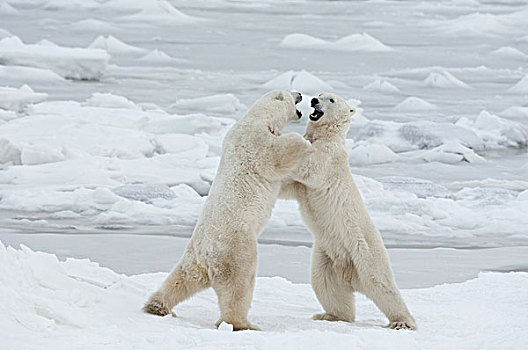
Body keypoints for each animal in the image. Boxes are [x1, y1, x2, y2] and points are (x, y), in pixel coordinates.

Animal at [142, 89, 312, 330]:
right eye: (291, 94)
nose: (300, 93)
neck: (258, 117)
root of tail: (206, 256)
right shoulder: (255, 140)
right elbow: (275, 155)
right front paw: (305, 141)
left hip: (193, 257)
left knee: (181, 279)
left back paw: (157, 305)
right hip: (236, 247)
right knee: (239, 284)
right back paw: (243, 323)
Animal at [280, 91, 416, 330]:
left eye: (331, 100)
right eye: (320, 94)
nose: (314, 100)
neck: (329, 136)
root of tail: (349, 273)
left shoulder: (328, 158)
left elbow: (309, 166)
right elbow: (290, 185)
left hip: (365, 251)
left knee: (382, 285)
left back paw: (402, 322)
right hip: (327, 255)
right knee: (326, 285)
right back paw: (331, 315)